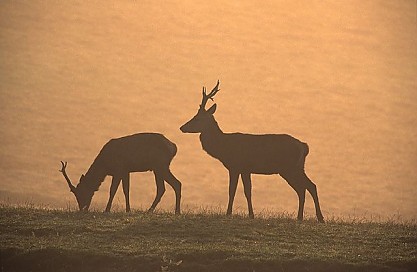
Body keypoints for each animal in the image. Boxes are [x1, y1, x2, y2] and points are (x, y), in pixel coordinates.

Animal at [180, 82, 324, 222]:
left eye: (198, 118)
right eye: (194, 116)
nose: (182, 127)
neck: (224, 147)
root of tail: (304, 146)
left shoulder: (235, 166)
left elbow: (232, 190)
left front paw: (229, 213)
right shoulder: (245, 169)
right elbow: (247, 191)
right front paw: (251, 214)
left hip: (290, 167)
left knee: (306, 187)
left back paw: (317, 217)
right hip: (297, 167)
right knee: (307, 187)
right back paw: (303, 217)